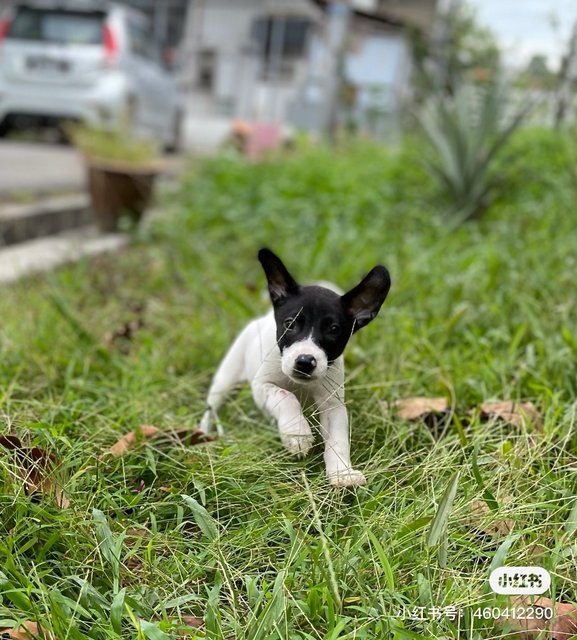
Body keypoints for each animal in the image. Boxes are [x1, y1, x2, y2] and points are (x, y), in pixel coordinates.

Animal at [199, 249, 392, 484]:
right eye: (290, 324)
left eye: (334, 330)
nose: (305, 361)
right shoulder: (262, 387)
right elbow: (286, 397)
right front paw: (297, 433)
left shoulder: (332, 405)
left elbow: (338, 439)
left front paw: (342, 472)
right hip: (226, 380)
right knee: (212, 407)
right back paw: (203, 432)